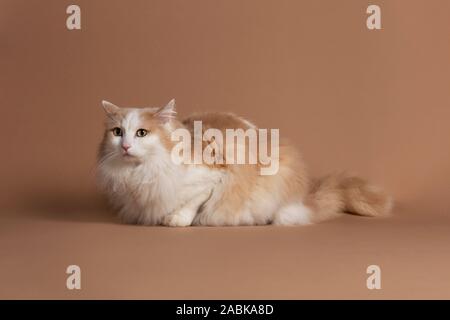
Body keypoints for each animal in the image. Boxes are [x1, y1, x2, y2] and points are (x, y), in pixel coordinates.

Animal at [96, 99, 392, 226]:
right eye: (117, 132)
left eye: (141, 133)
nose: (125, 146)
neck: (140, 174)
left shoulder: (214, 177)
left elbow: (193, 202)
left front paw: (177, 219)